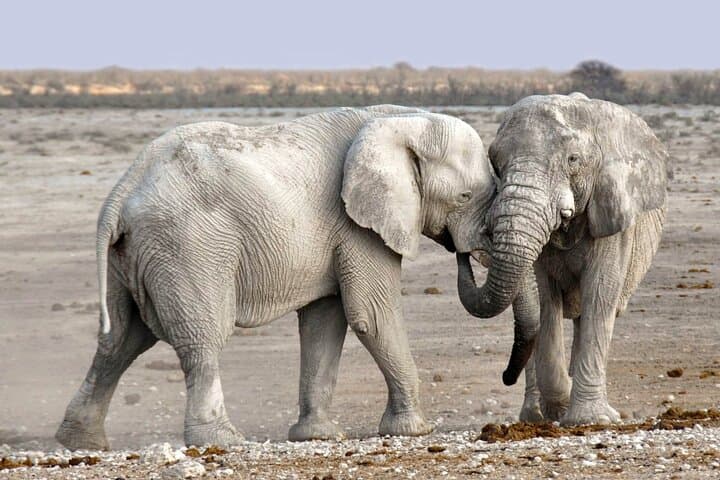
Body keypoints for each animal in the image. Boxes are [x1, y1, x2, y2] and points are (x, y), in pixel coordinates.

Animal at [55, 105, 498, 450]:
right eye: (464, 197)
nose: (463, 252)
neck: (401, 120)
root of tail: (122, 190)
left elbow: (325, 321)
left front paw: (317, 436)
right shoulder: (358, 225)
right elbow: (371, 315)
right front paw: (414, 430)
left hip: (132, 255)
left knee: (121, 340)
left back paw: (80, 442)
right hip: (187, 246)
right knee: (202, 337)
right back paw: (222, 441)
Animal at [456, 93, 667, 425]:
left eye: (573, 160)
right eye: (496, 163)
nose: (462, 251)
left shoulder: (612, 214)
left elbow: (600, 294)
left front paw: (590, 420)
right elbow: (545, 300)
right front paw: (561, 406)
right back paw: (535, 416)